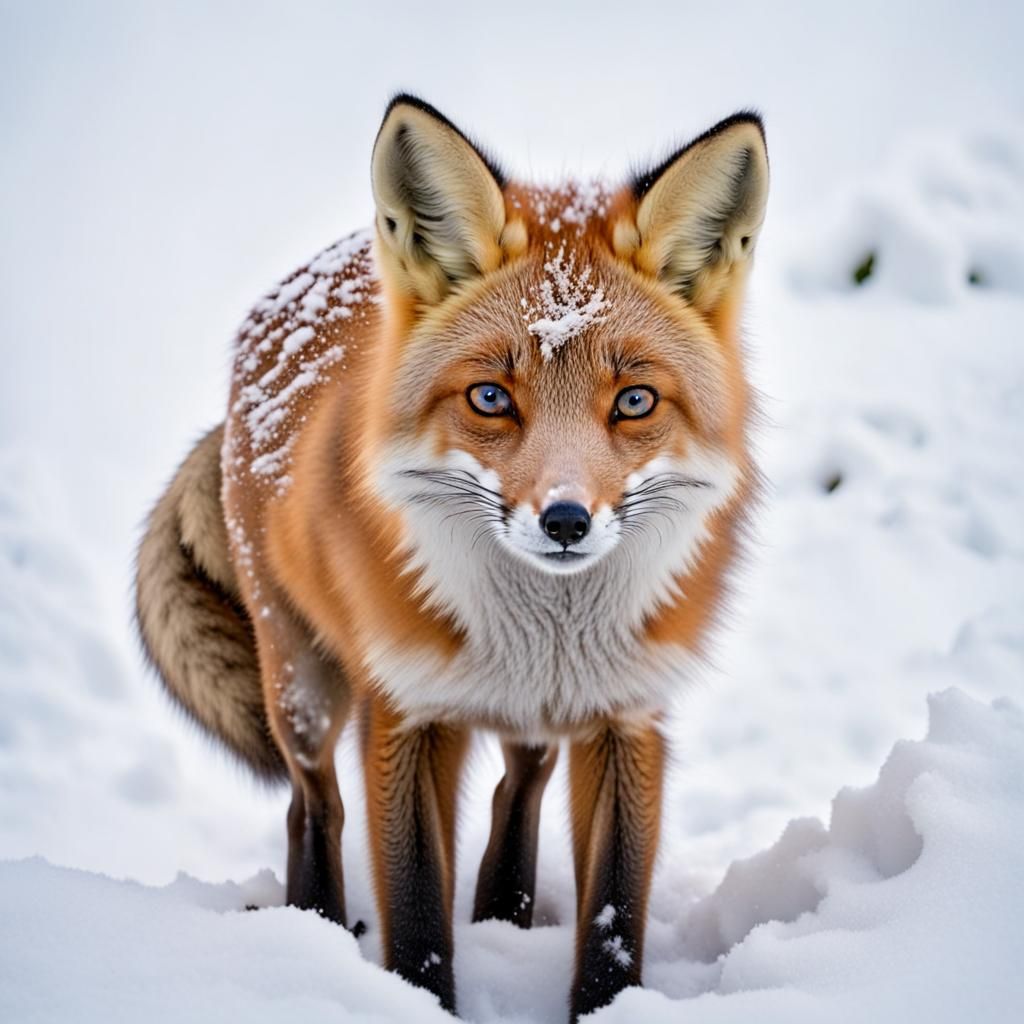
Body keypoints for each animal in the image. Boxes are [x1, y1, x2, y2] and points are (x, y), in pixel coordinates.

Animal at [135, 94, 768, 1020]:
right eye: (491, 398)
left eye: (635, 401)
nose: (567, 521)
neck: (542, 632)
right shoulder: (405, 710)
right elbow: (416, 908)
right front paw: (417, 997)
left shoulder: (629, 714)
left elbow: (613, 917)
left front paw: (602, 1003)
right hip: (303, 691)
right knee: (312, 809)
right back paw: (315, 928)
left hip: (534, 719)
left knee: (518, 788)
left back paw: (504, 913)